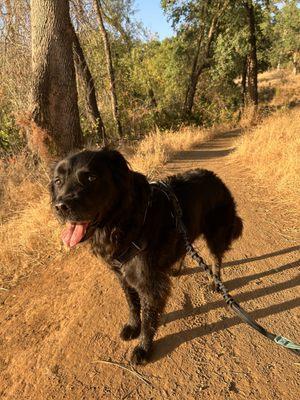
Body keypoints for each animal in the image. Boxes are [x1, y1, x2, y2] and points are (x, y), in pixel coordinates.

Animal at [50, 148, 243, 366]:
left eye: (91, 177)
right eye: (58, 181)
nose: (60, 206)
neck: (123, 222)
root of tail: (217, 178)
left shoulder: (149, 284)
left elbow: (148, 317)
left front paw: (143, 348)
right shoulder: (122, 276)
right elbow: (133, 305)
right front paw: (133, 327)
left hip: (215, 233)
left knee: (216, 258)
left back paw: (215, 282)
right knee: (185, 249)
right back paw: (176, 268)